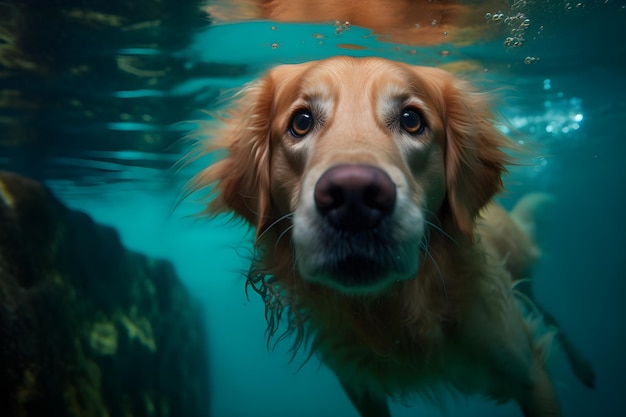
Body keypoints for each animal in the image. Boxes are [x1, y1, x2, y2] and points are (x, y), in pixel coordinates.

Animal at [186, 56, 588, 416]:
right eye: (301, 122)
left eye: (412, 120)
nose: (353, 197)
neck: (394, 312)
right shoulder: (359, 387)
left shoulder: (528, 374)